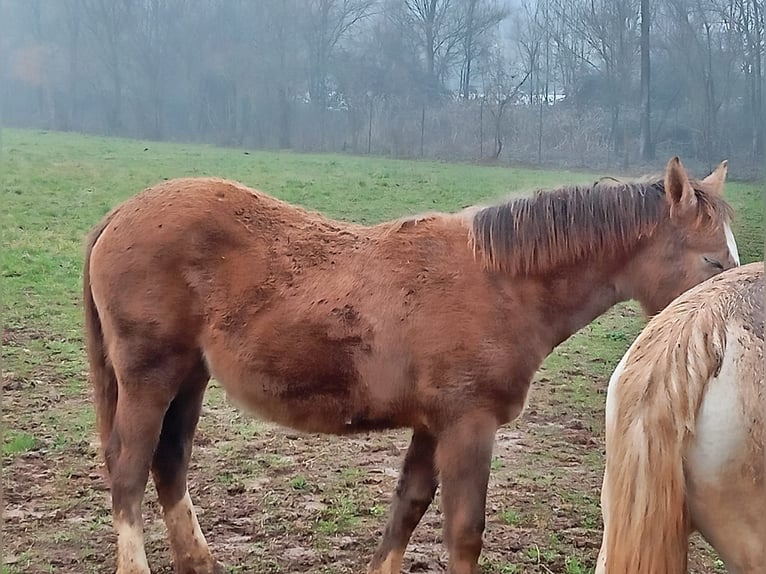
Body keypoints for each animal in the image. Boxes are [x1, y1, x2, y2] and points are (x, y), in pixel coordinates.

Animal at [87, 158, 740, 574]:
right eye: (712, 260)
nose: (735, 308)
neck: (501, 284)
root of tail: (118, 214)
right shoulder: (468, 426)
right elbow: (464, 532)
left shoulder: (434, 424)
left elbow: (408, 507)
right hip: (150, 375)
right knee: (129, 470)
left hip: (189, 378)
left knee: (168, 464)